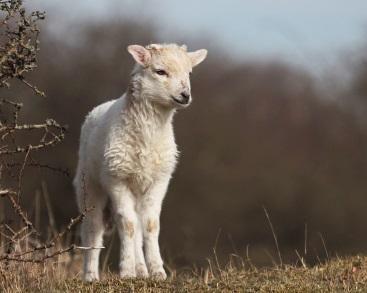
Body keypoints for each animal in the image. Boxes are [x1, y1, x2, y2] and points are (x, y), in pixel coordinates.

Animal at [73, 41, 208, 280]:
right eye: (160, 71)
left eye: (189, 73)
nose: (185, 95)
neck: (148, 137)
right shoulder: (117, 178)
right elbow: (126, 224)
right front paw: (127, 272)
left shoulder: (160, 180)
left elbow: (151, 224)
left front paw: (157, 271)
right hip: (88, 184)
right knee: (93, 227)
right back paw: (90, 275)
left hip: (137, 187)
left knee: (136, 224)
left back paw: (141, 269)